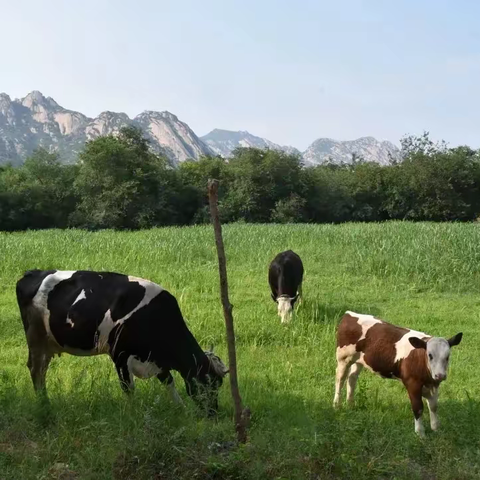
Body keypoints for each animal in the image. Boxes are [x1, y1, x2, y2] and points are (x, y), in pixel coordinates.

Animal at [15, 268, 230, 414]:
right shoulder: (119, 354)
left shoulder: (158, 359)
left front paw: (181, 407)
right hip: (35, 336)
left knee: (41, 370)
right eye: (207, 383)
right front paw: (133, 413)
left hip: (47, 342)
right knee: (36, 369)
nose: (213, 413)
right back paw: (44, 405)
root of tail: (33, 272)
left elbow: (169, 381)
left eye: (219, 384)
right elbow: (128, 388)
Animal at [334, 312, 462, 438]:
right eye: (430, 355)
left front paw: (436, 429)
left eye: (447, 357)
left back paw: (350, 404)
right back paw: (336, 405)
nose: (440, 375)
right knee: (340, 379)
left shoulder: (433, 384)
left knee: (352, 378)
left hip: (358, 361)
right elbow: (418, 408)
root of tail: (349, 314)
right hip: (343, 358)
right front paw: (420, 434)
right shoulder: (412, 383)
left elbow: (434, 406)